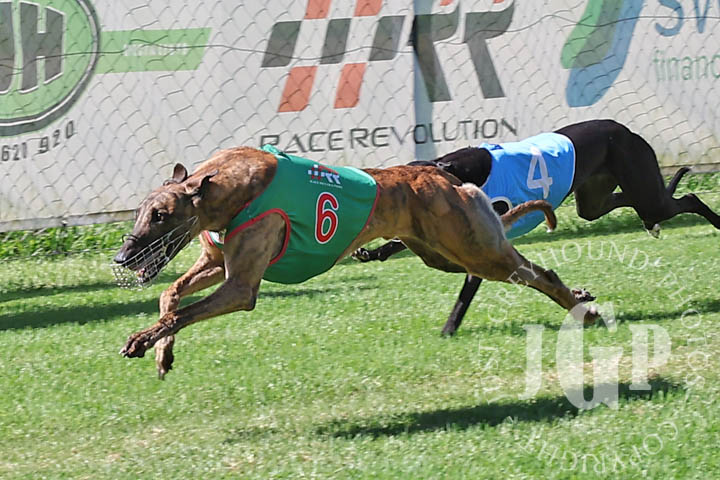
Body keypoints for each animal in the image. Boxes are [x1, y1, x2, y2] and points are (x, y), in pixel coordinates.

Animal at [113, 144, 598, 378]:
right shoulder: (218, 263)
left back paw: (581, 306)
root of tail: (445, 176)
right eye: (140, 212)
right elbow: (170, 297)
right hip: (443, 254)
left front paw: (141, 341)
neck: (225, 187)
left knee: (535, 271)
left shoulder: (240, 286)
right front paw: (162, 353)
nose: (123, 256)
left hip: (473, 248)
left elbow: (183, 310)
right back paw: (579, 298)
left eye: (160, 215)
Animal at [353, 119, 720, 336]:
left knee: (687, 197)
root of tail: (623, 129)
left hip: (641, 185)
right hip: (596, 200)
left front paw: (448, 330)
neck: (456, 168)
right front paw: (373, 252)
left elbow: (466, 292)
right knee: (629, 204)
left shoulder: (481, 239)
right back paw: (651, 226)